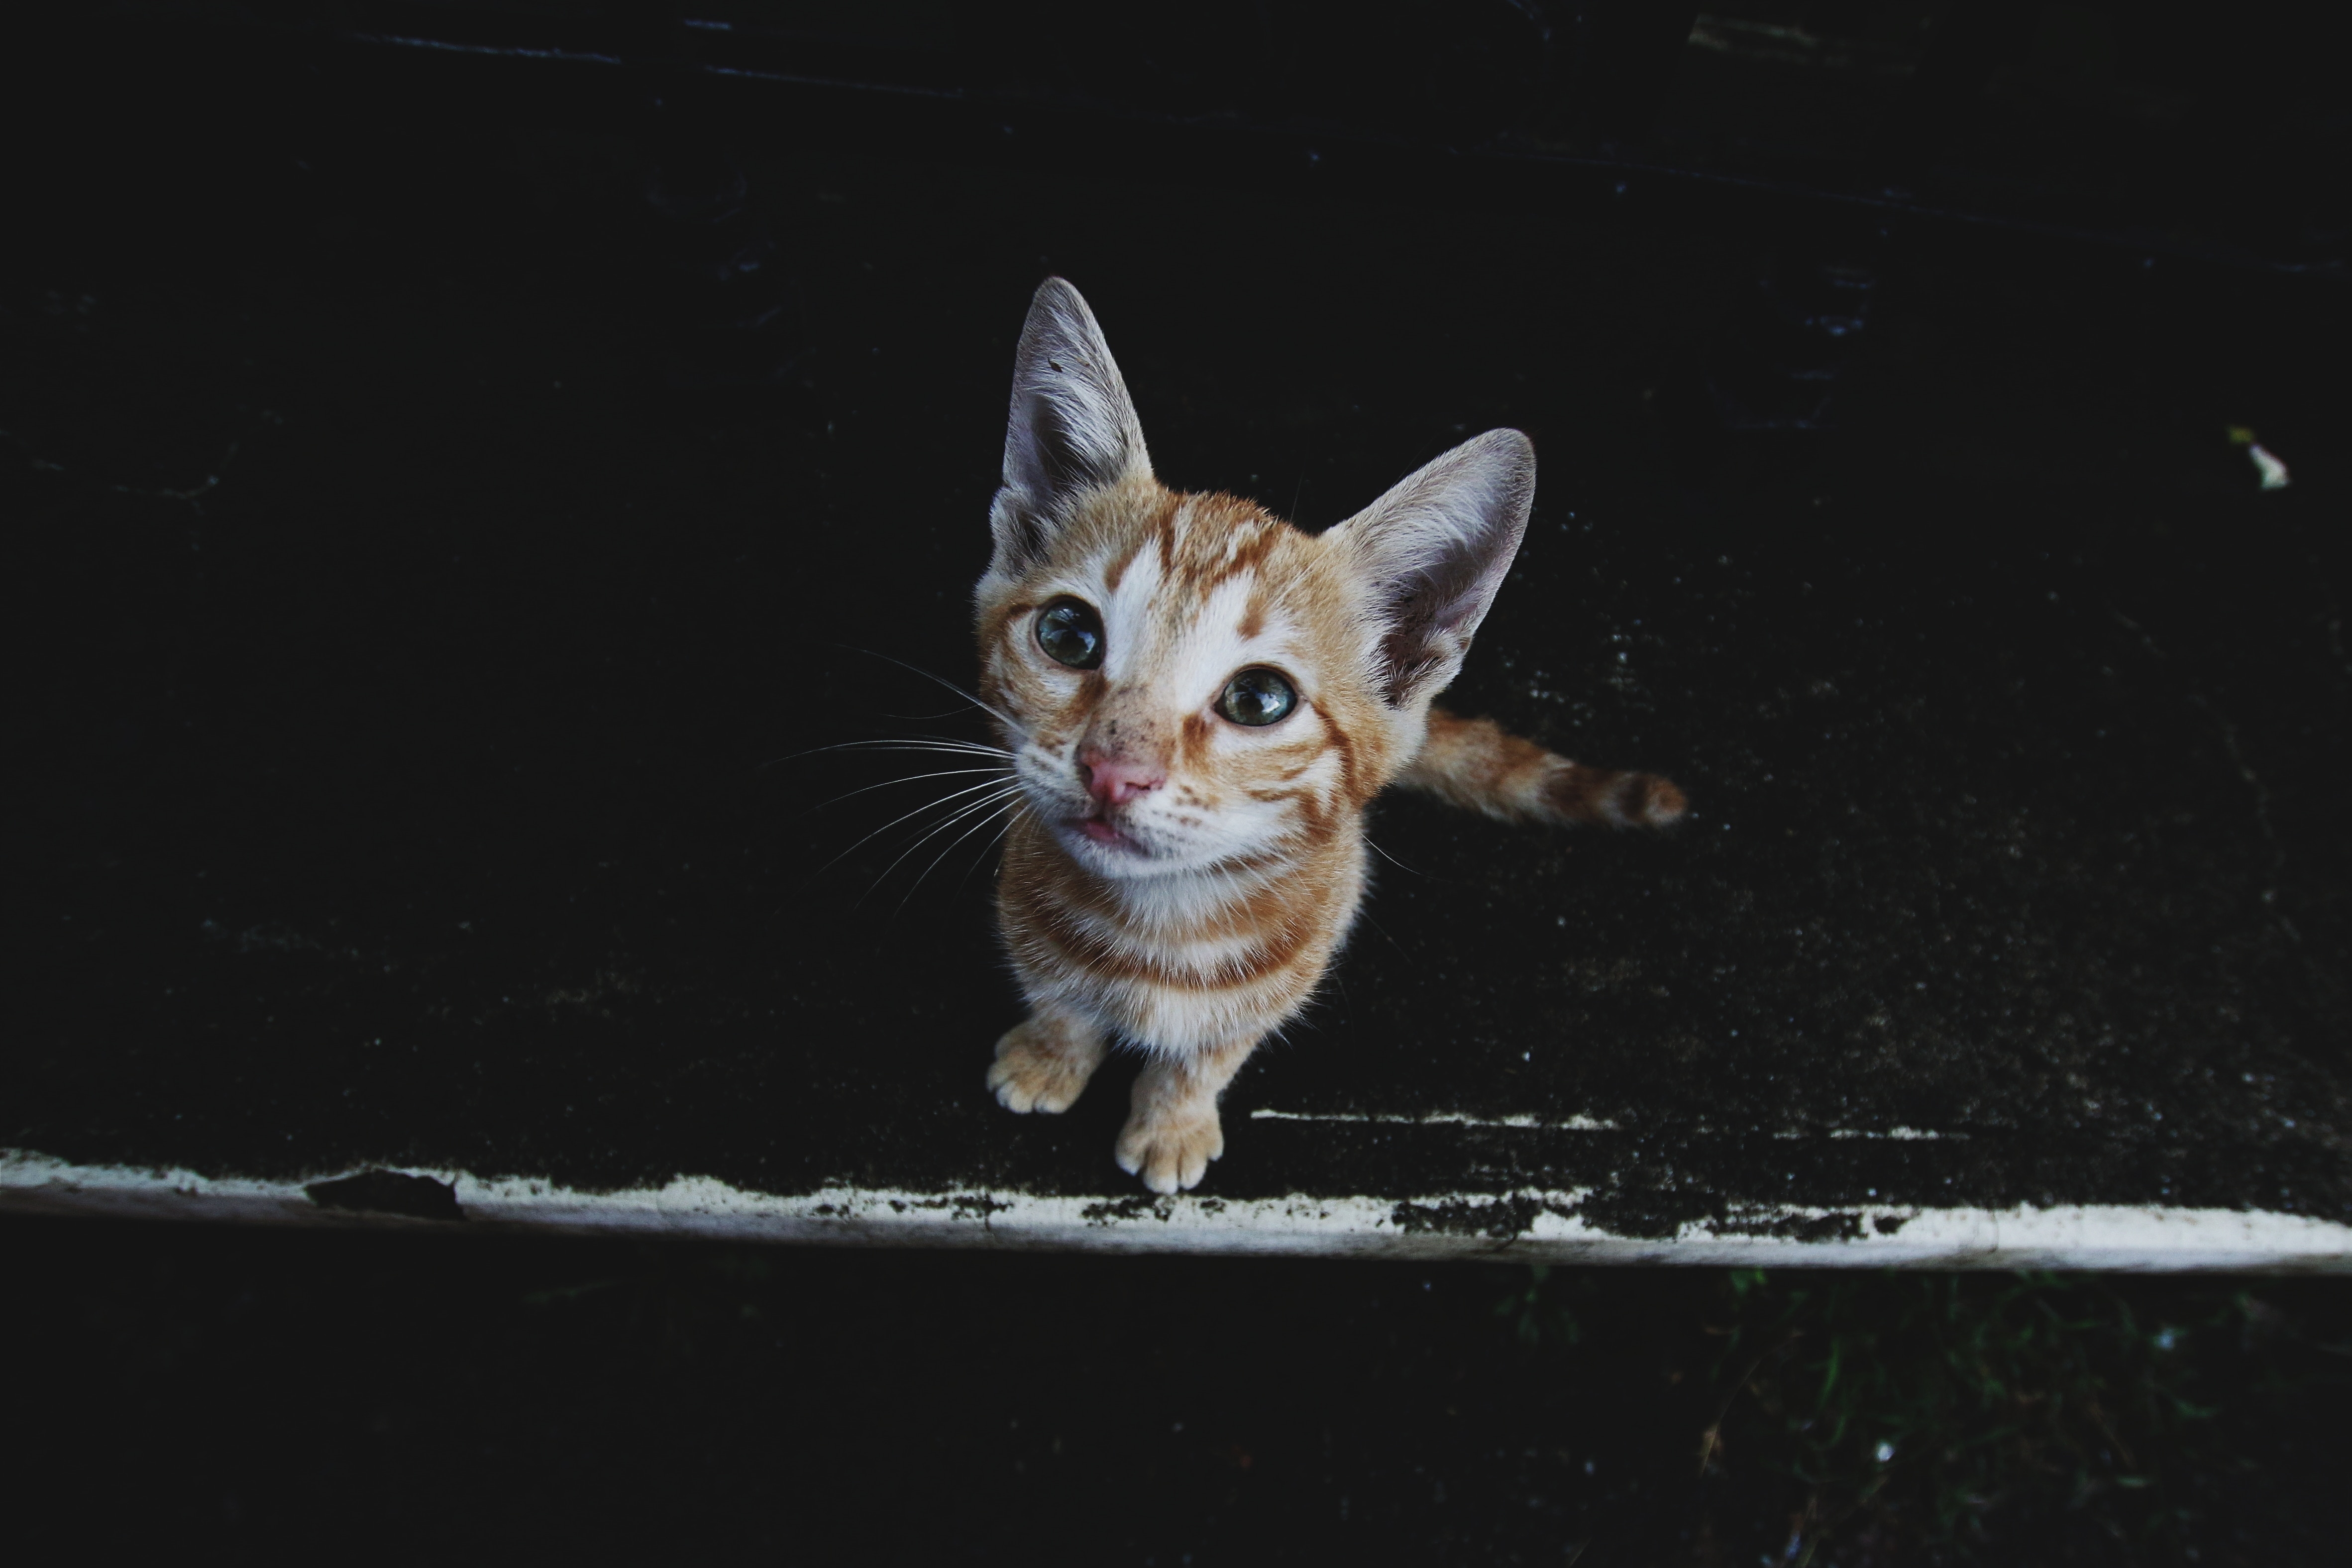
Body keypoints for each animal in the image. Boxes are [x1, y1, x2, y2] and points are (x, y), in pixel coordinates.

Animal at [978, 282, 1693, 1194]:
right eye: (1068, 635)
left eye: (1257, 699)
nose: (1113, 771)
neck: (1163, 924)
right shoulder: (1020, 904)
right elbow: (1058, 998)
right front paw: (1049, 1057)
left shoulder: (1297, 963)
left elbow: (1211, 1051)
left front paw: (1172, 1119)